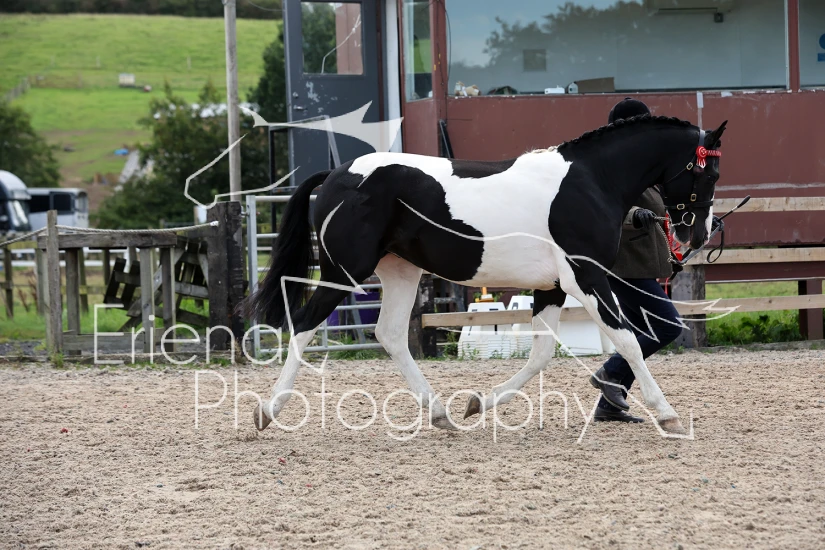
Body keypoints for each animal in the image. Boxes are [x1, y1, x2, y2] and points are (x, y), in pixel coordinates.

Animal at [245, 114, 726, 435]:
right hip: (344, 272)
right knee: (305, 323)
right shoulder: (584, 276)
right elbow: (627, 340)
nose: (700, 233)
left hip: (400, 272)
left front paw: (477, 403)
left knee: (390, 335)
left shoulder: (552, 287)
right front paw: (668, 414)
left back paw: (440, 414)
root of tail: (339, 174)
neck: (590, 181)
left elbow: (540, 356)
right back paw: (268, 411)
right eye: (709, 172)